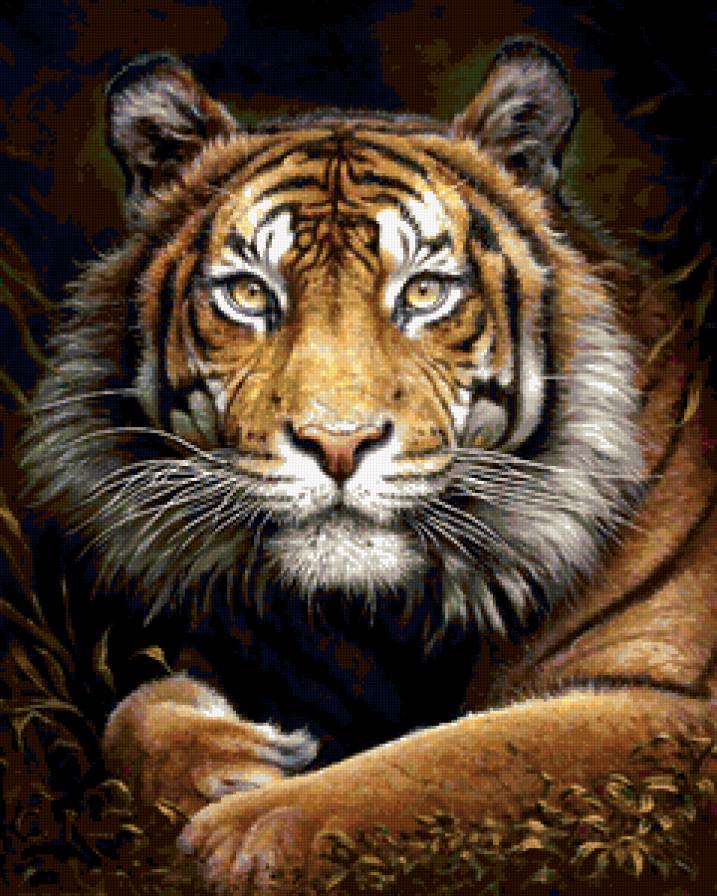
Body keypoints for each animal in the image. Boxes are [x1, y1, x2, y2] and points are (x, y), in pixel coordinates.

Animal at [18, 38, 717, 894]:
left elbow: (457, 760)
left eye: (422, 293)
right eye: (248, 293)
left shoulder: (671, 713)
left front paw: (242, 835)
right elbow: (134, 709)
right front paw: (229, 760)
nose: (337, 443)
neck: (396, 619)